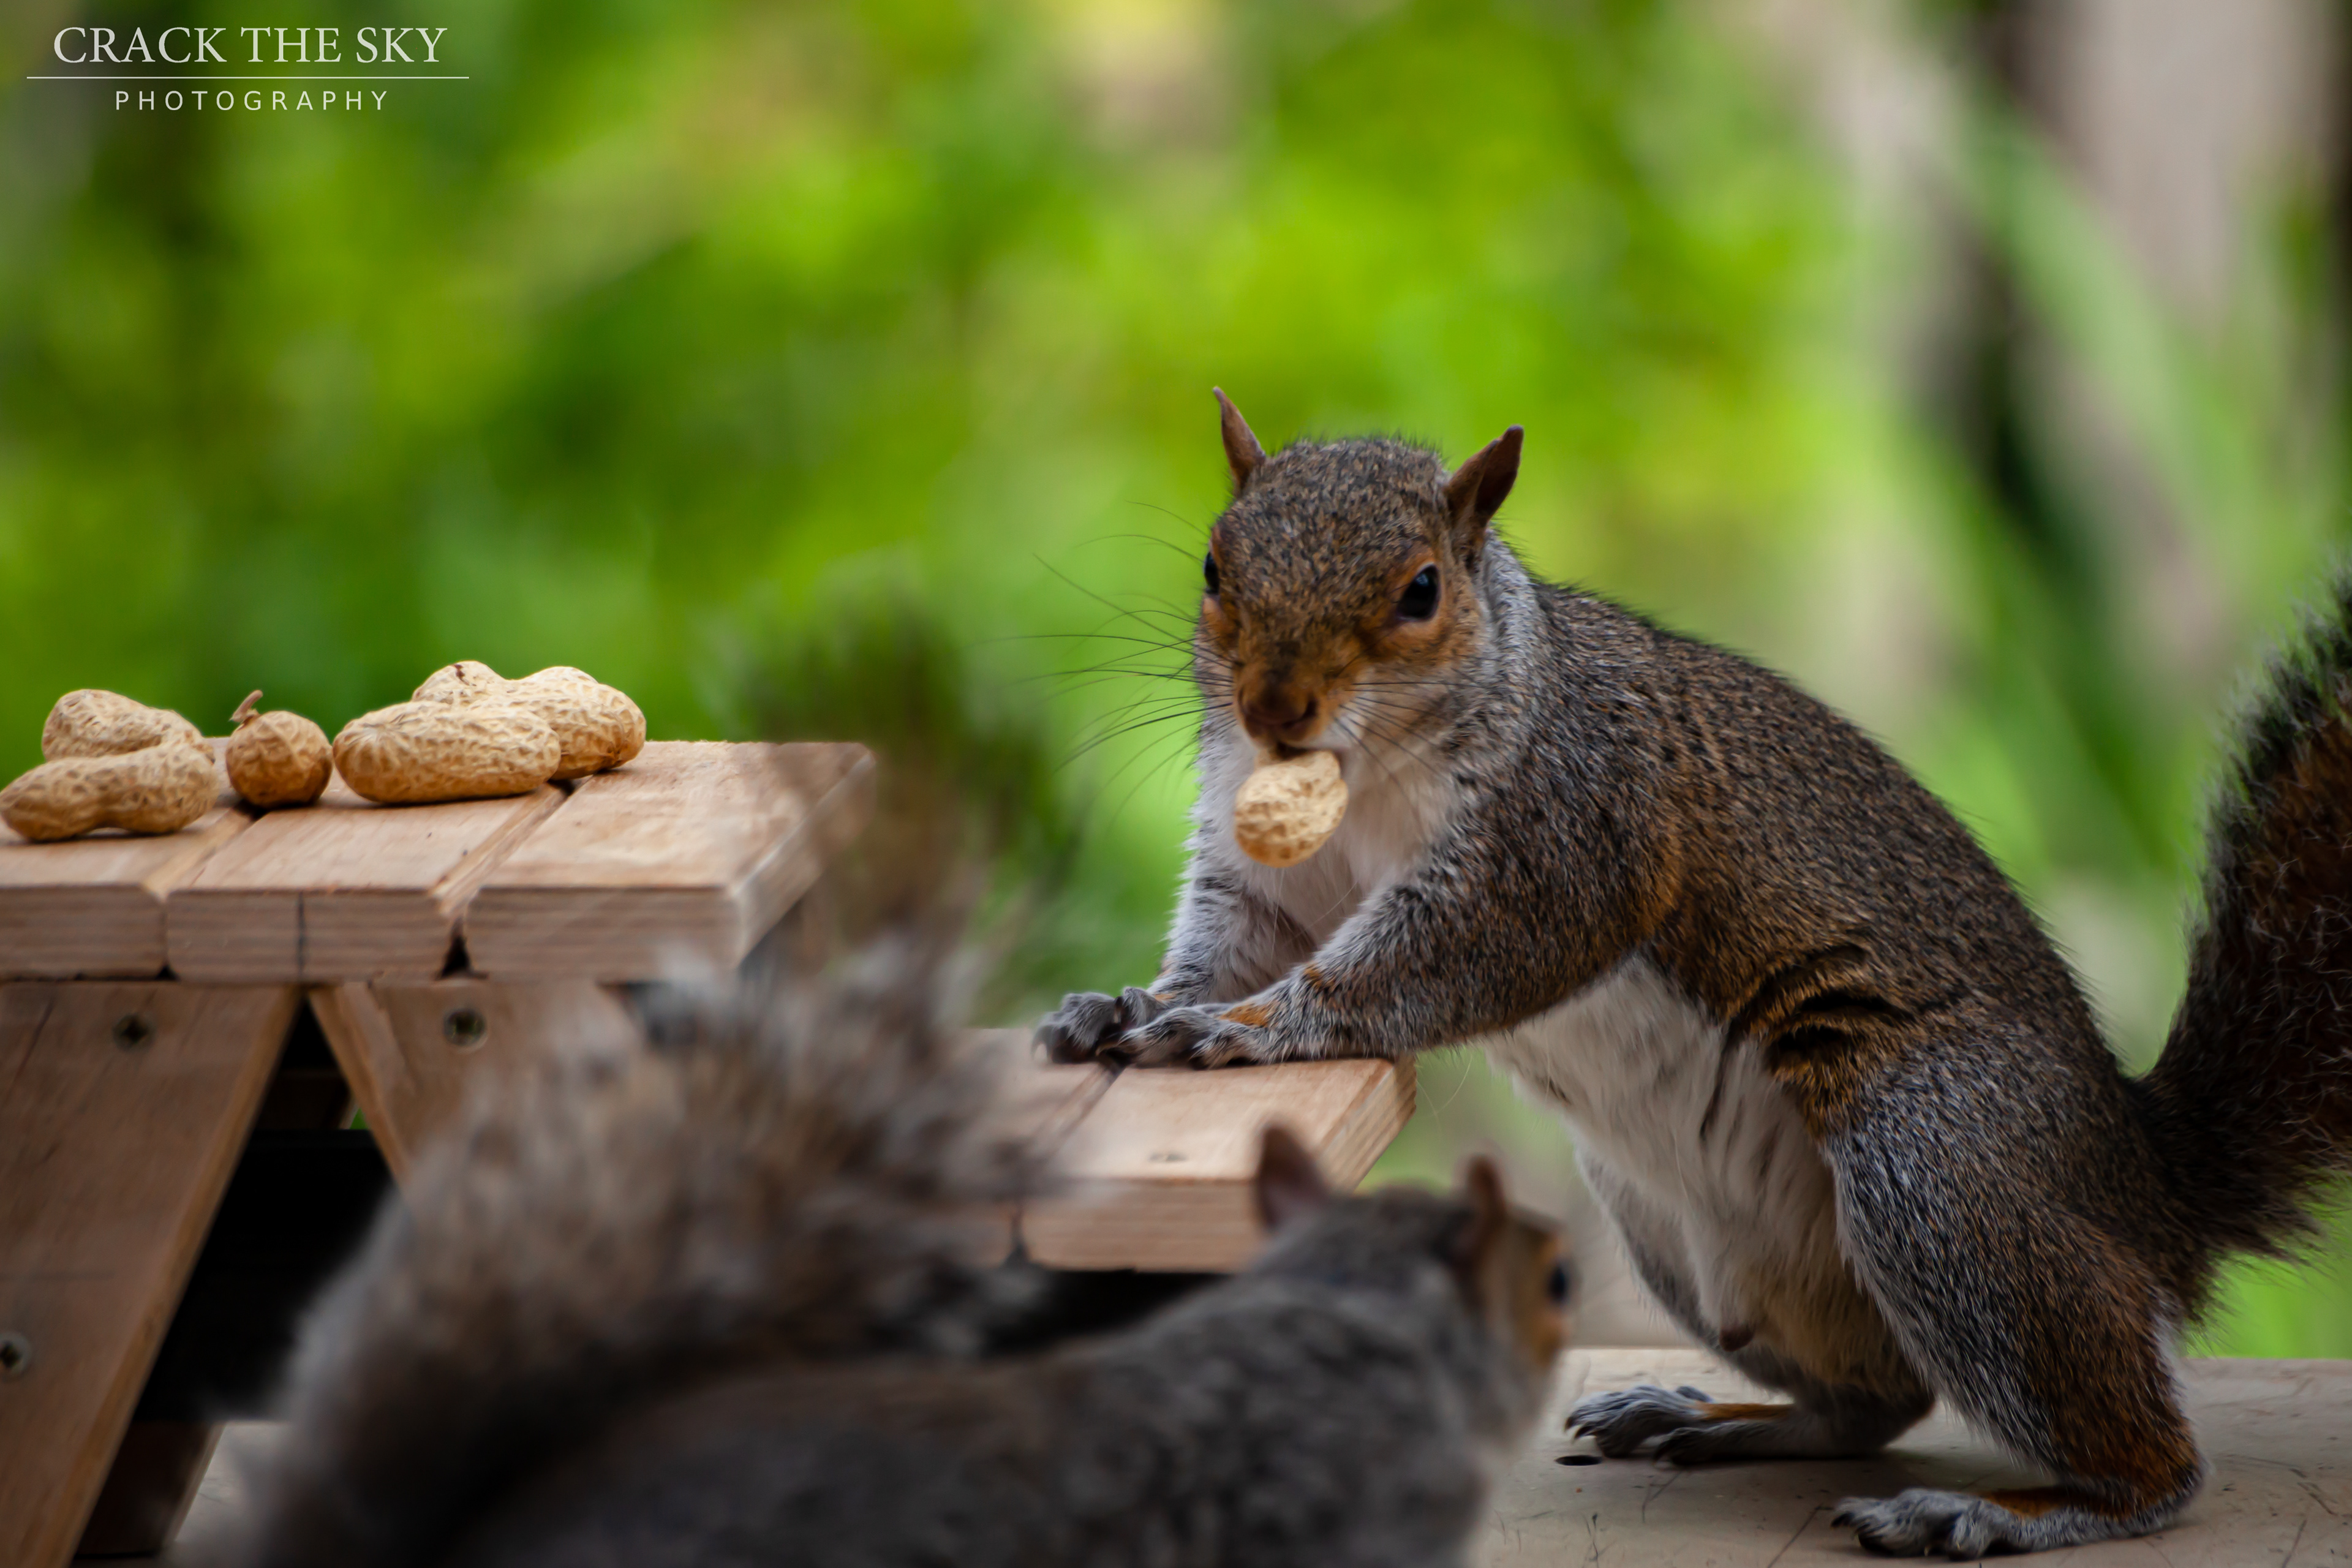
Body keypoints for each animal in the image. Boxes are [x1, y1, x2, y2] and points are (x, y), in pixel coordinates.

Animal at [1037, 389, 2352, 1558]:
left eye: (1421, 590)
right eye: (1215, 566)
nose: (1275, 709)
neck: (1365, 777)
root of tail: (2147, 1189)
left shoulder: (1572, 831)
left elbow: (1436, 961)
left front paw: (1251, 1030)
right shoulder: (1271, 879)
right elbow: (1232, 945)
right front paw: (1129, 1005)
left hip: (1940, 1169)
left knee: (2151, 1466)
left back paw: (2004, 1511)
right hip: (1674, 1230)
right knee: (1875, 1406)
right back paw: (1716, 1417)